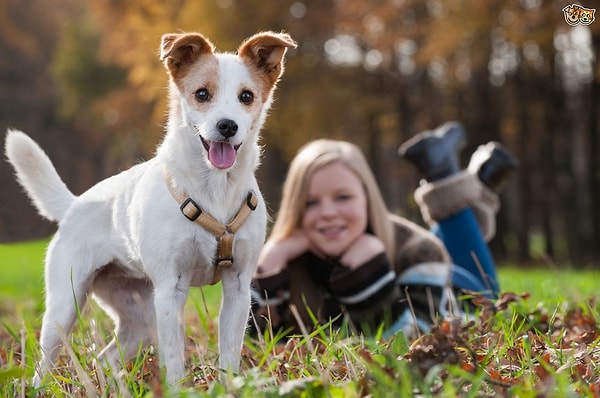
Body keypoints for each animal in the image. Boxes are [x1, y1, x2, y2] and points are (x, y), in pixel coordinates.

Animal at [4, 30, 296, 386]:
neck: (214, 190)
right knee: (43, 364)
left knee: (105, 358)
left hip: (139, 316)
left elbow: (229, 353)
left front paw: (229, 386)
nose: (227, 126)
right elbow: (174, 358)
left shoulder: (239, 288)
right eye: (202, 94)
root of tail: (74, 204)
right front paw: (179, 389)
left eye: (247, 96)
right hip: (65, 305)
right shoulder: (170, 289)